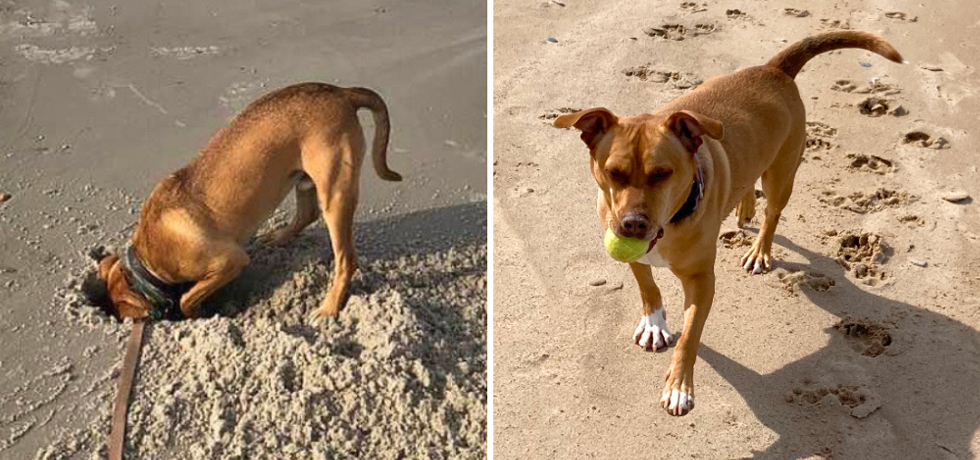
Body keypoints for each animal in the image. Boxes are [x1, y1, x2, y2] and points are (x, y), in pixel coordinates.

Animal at [95, 82, 402, 320]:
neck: (147, 259)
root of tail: (342, 92)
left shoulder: (229, 261)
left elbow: (186, 298)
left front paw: (198, 313)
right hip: (305, 178)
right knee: (307, 214)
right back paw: (277, 237)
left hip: (334, 192)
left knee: (345, 259)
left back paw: (329, 308)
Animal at [556, 30, 908, 416]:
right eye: (613, 172)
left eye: (663, 173)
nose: (632, 225)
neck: (672, 221)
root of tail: (773, 69)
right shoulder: (632, 249)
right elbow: (648, 287)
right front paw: (654, 324)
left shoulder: (701, 282)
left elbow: (690, 337)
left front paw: (679, 386)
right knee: (747, 182)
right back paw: (743, 209)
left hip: (781, 174)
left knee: (773, 214)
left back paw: (759, 250)